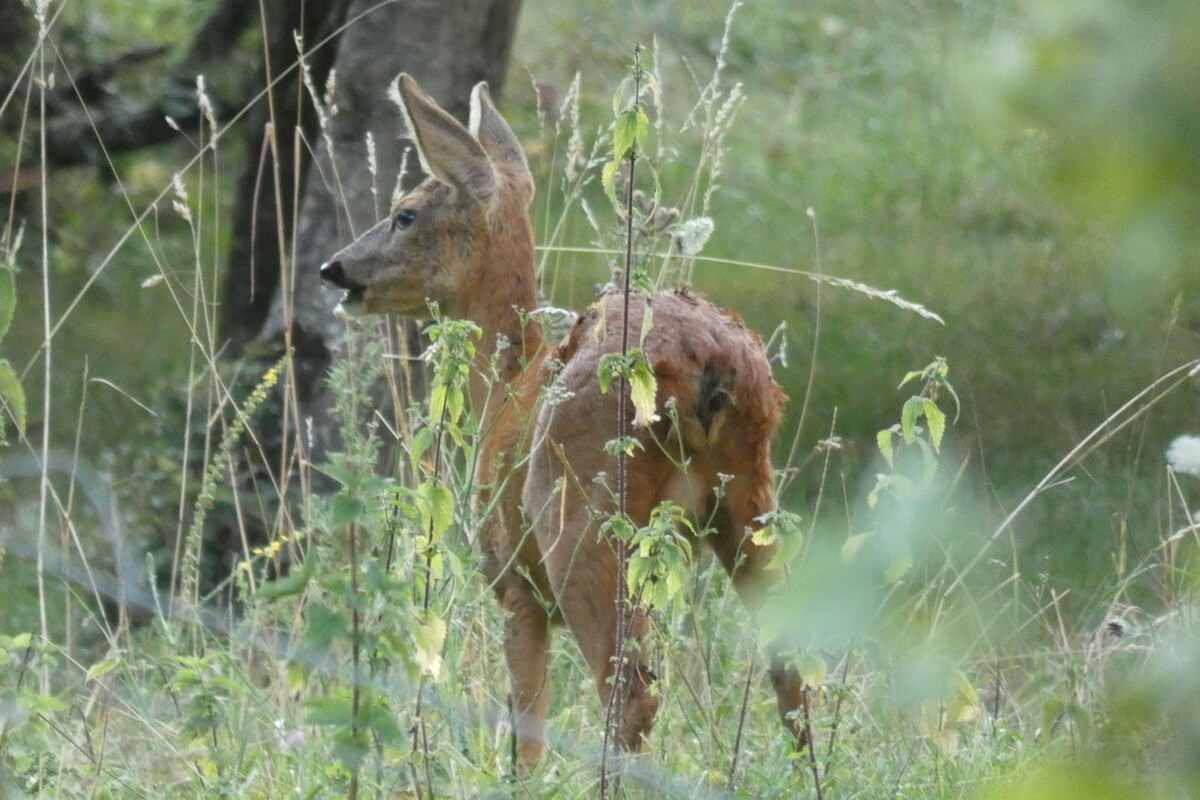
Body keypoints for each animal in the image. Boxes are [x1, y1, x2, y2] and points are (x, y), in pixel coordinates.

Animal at [324, 76, 801, 767]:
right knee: (793, 666)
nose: (335, 269)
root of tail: (709, 362)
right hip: (748, 494)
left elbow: (525, 730)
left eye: (405, 212)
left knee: (631, 691)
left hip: (583, 520)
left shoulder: (515, 584)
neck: (507, 388)